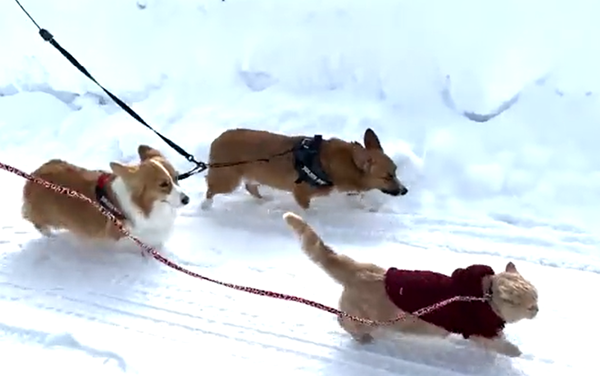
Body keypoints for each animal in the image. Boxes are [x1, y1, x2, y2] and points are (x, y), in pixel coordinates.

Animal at [22, 145, 190, 250]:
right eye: (163, 184)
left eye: (176, 178)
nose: (186, 199)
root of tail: (34, 174)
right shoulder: (119, 236)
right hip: (46, 214)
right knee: (35, 220)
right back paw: (50, 234)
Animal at [202, 128, 408, 210]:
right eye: (388, 176)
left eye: (396, 171)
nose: (405, 191)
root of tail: (216, 140)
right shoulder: (301, 192)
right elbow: (308, 209)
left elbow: (358, 196)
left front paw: (367, 206)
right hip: (227, 180)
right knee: (211, 190)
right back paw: (205, 206)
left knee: (250, 187)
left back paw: (263, 200)